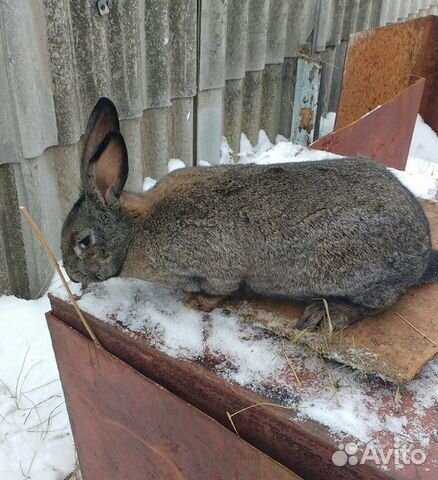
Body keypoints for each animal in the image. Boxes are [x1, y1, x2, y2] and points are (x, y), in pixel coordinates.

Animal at [61, 97, 438, 330]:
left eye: (84, 242)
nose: (72, 275)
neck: (134, 230)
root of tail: (422, 250)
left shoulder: (216, 269)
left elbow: (222, 289)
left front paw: (196, 302)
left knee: (379, 303)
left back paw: (323, 315)